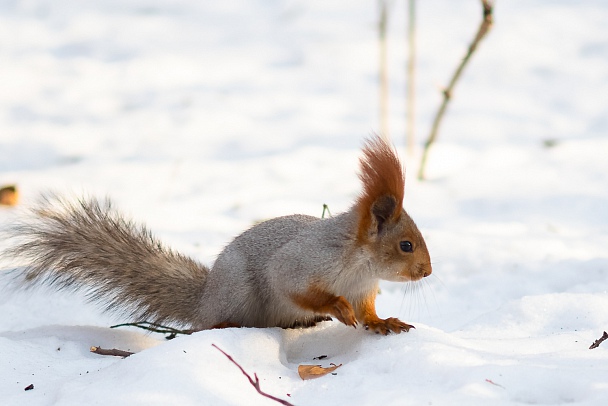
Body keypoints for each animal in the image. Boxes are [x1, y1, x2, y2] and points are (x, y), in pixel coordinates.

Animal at [4, 136, 432, 334]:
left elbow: (367, 311)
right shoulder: (301, 262)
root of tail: (204, 301)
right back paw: (226, 325)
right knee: (210, 325)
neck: (360, 263)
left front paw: (382, 322)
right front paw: (337, 307)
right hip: (237, 291)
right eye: (405, 245)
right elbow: (298, 288)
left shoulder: (364, 288)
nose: (428, 273)